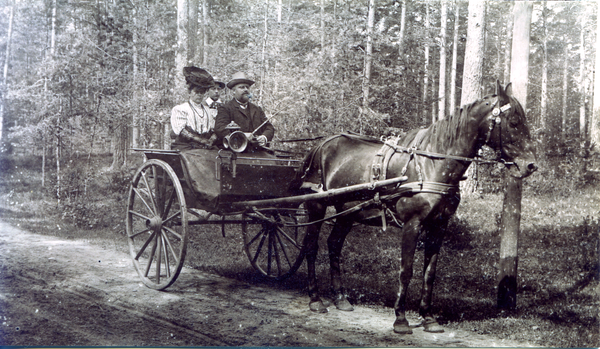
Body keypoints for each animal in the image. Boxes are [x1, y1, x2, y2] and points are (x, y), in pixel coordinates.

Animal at [298, 80, 536, 334]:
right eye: (514, 122)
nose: (530, 165)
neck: (432, 165)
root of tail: (321, 145)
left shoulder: (439, 226)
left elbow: (429, 273)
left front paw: (428, 318)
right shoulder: (412, 225)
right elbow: (406, 270)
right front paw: (400, 319)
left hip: (347, 213)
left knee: (334, 245)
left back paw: (341, 298)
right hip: (317, 206)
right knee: (311, 247)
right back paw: (315, 300)